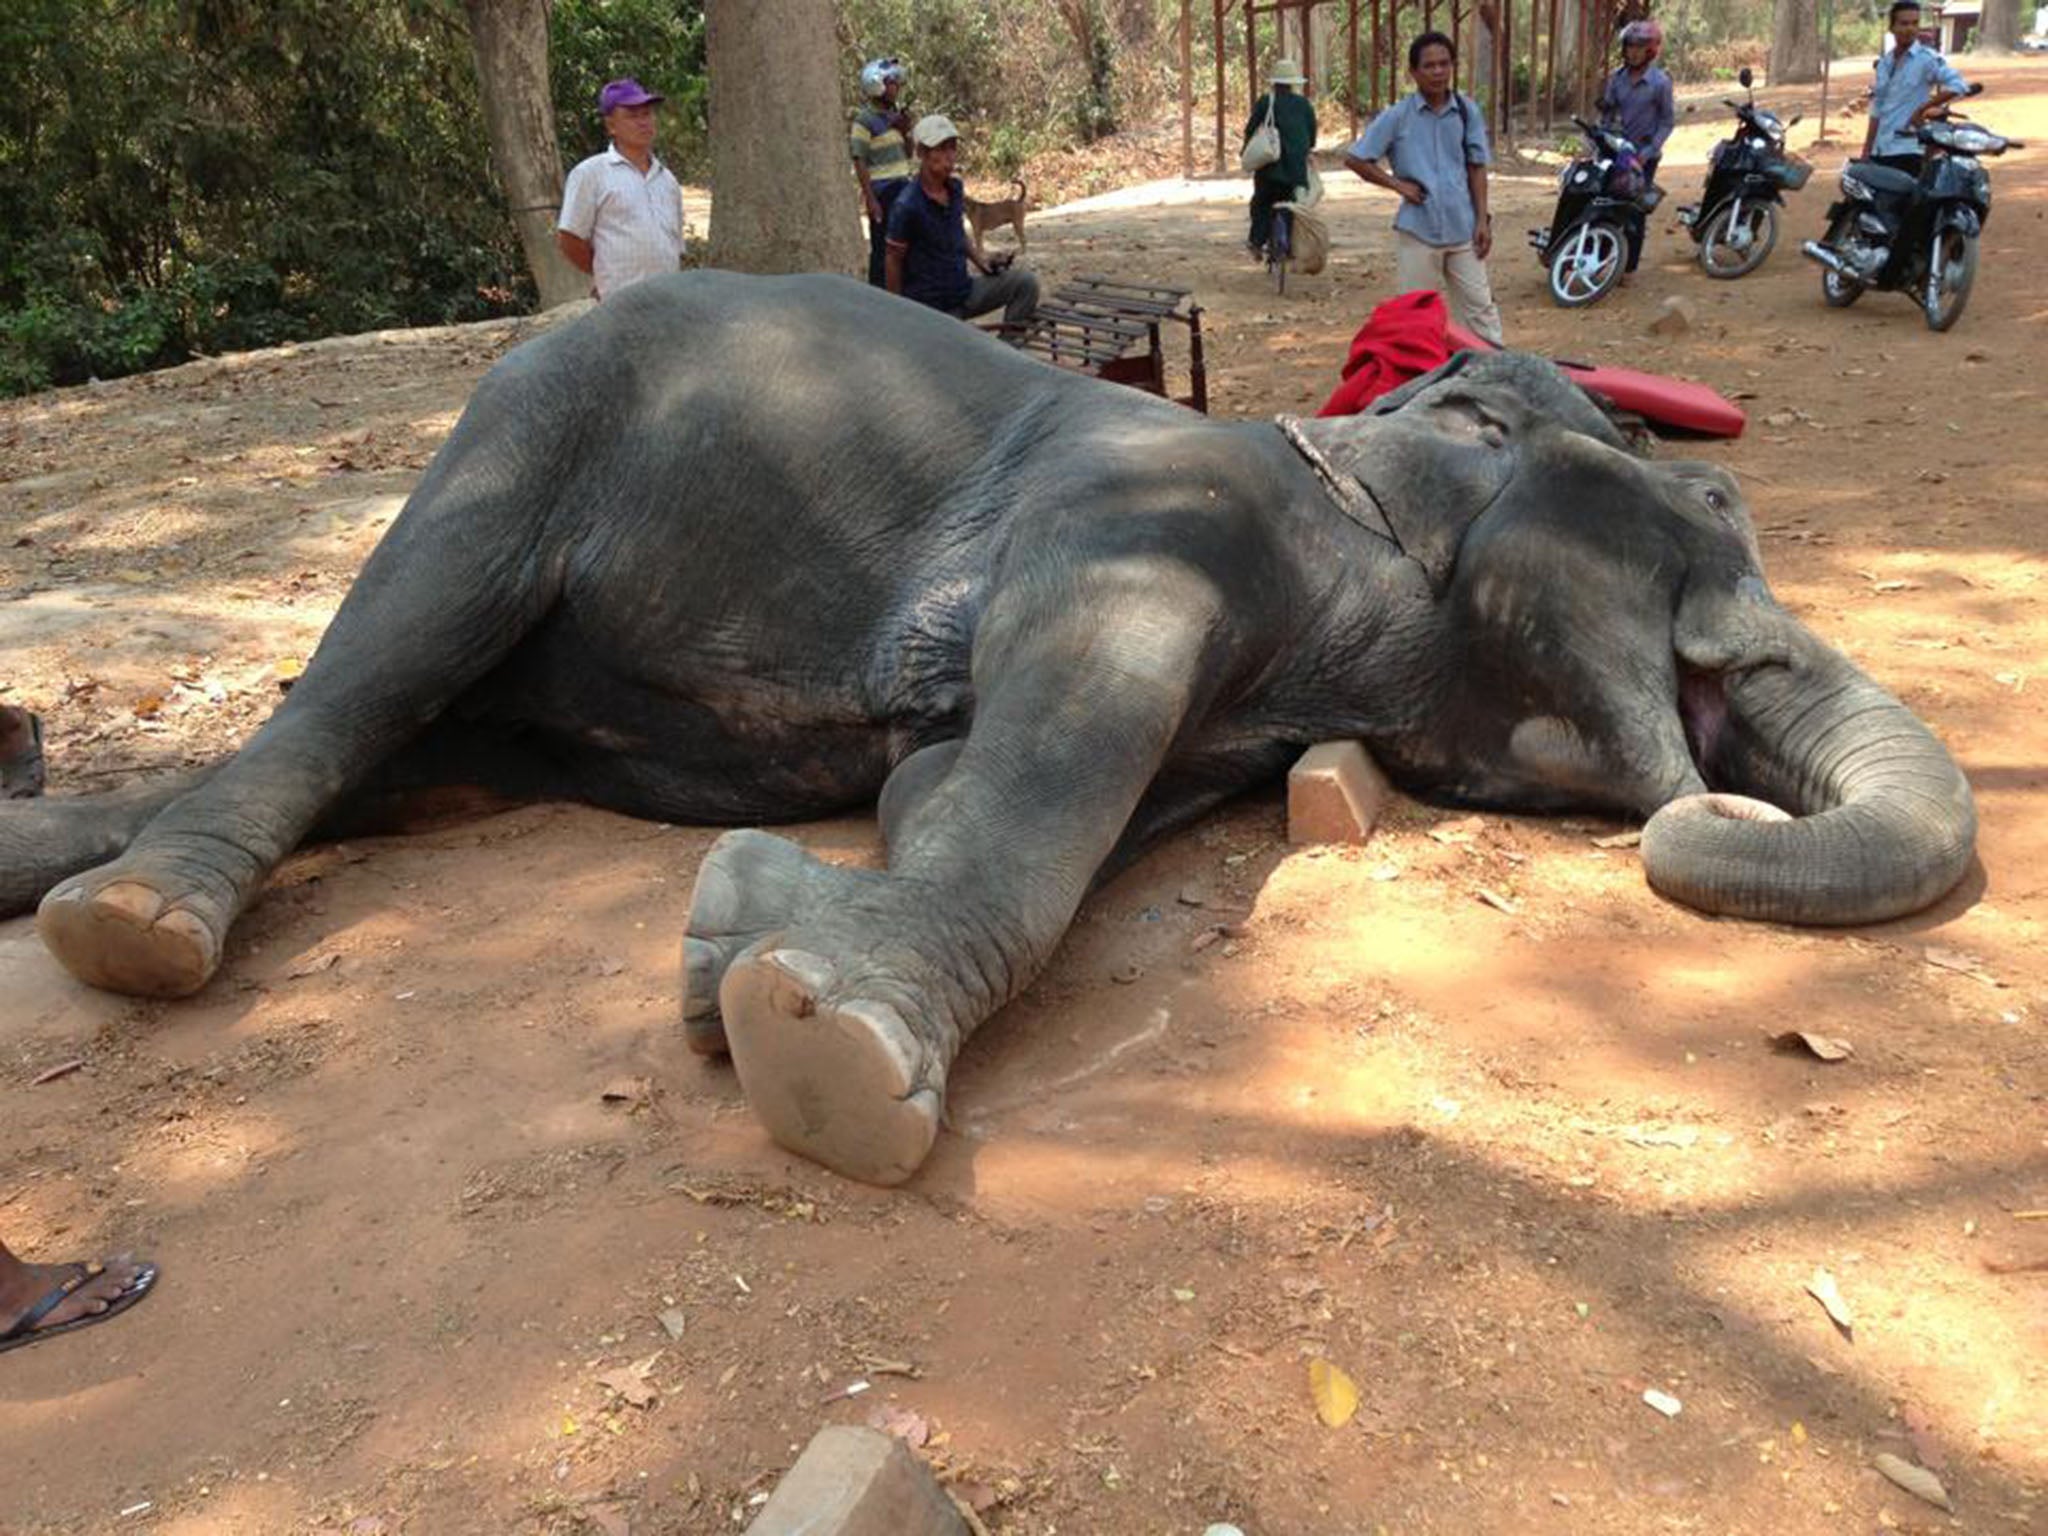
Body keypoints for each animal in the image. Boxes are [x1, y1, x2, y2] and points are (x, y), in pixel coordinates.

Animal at [4, 276, 1982, 1187]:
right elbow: (1059, 732)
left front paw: (739, 939)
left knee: (416, 748)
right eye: (1711, 522)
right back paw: (135, 931)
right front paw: (821, 1052)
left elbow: (950, 776)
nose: (1721, 801)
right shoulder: (1147, 515)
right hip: (526, 429)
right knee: (387, 656)